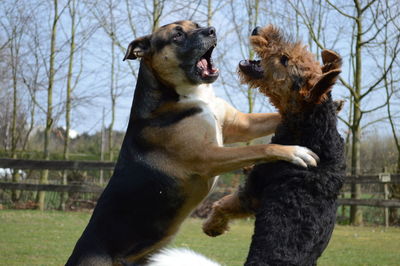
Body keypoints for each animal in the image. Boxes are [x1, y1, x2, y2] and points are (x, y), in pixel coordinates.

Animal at [66, 21, 318, 266]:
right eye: (177, 35)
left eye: (196, 25)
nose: (212, 30)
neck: (188, 94)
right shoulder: (208, 156)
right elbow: (261, 147)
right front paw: (294, 152)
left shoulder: (241, 124)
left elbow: (276, 117)